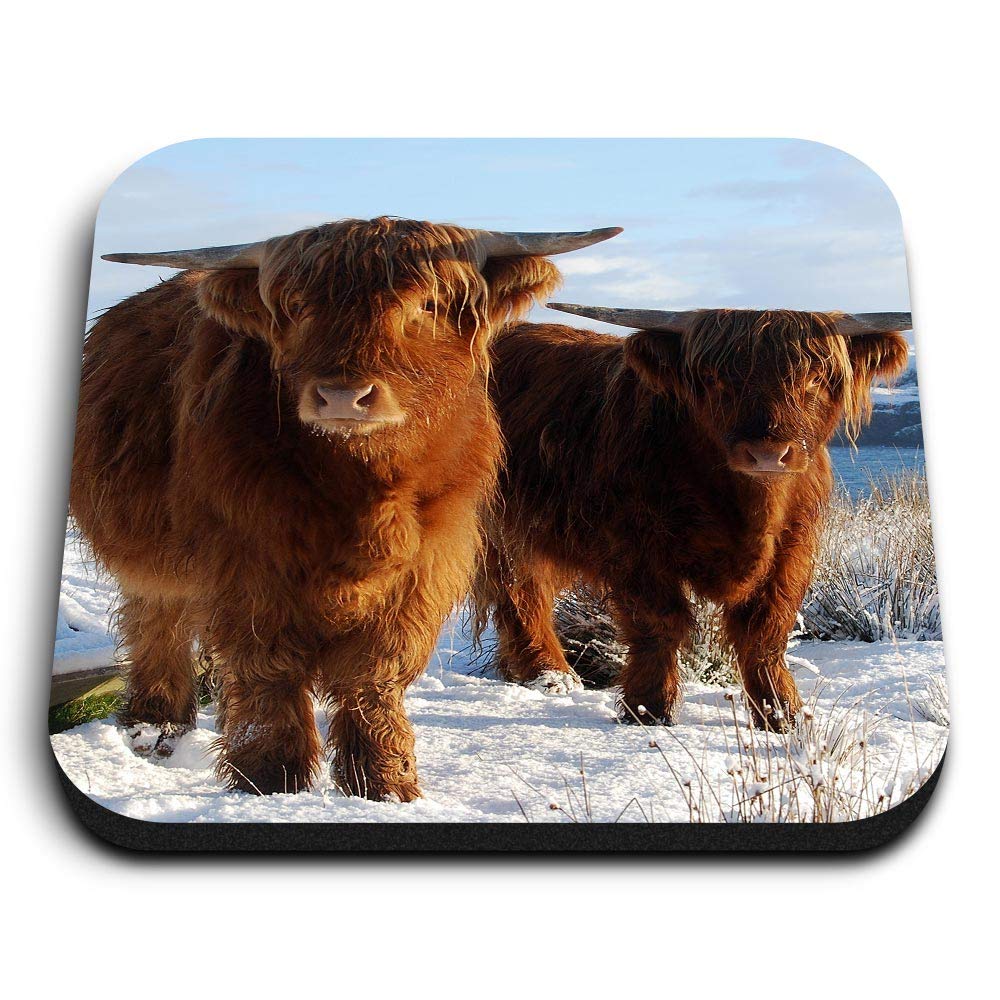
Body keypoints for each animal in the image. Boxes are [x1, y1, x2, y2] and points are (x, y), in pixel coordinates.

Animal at [70, 218, 622, 799]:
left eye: (426, 304)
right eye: (296, 306)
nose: (341, 395)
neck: (362, 496)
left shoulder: (426, 563)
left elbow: (374, 671)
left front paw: (384, 781)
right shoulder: (249, 563)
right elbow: (268, 666)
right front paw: (269, 778)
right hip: (151, 550)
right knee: (158, 615)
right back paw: (156, 725)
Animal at [474, 304, 910, 730]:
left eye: (816, 377)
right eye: (715, 378)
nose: (768, 454)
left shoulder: (793, 548)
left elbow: (765, 630)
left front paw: (780, 715)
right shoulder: (634, 547)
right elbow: (659, 624)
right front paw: (648, 708)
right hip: (500, 527)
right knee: (521, 592)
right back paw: (550, 675)